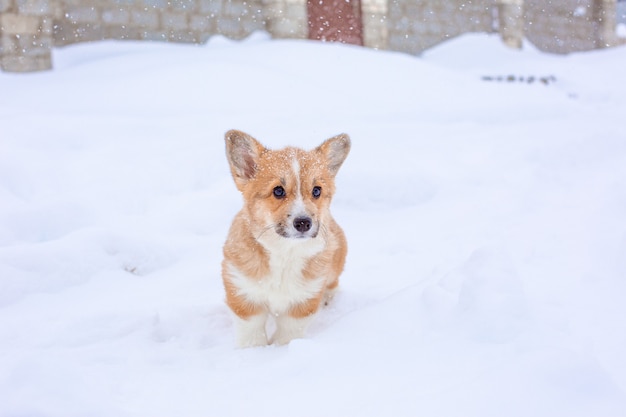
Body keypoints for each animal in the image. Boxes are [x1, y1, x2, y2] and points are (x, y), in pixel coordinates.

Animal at [221, 131, 348, 348]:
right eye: (278, 191)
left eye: (317, 191)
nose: (303, 223)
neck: (285, 252)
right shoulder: (244, 295)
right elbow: (252, 333)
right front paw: (252, 351)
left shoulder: (302, 304)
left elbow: (288, 334)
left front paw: (282, 350)